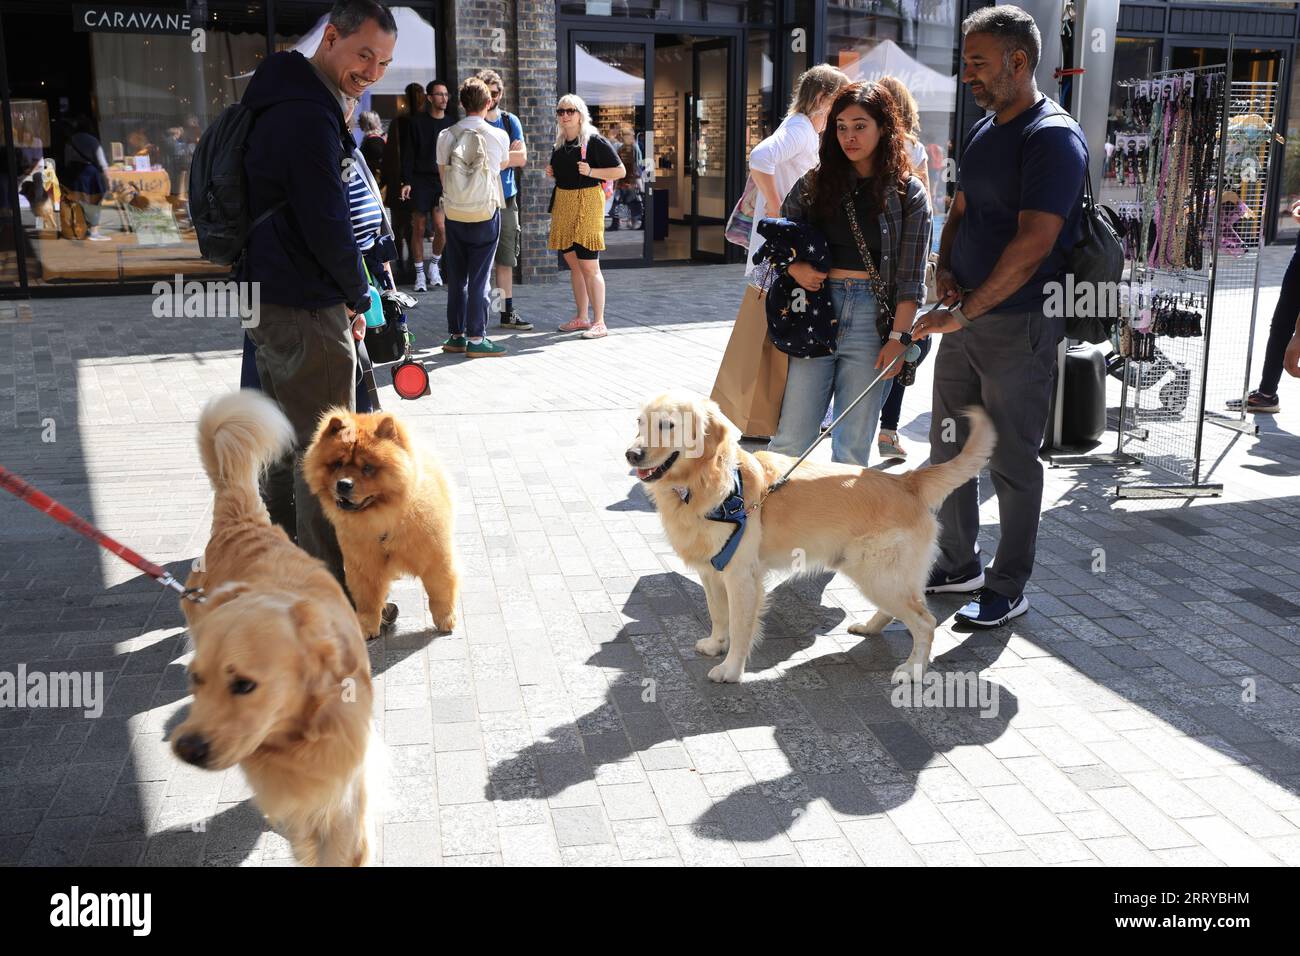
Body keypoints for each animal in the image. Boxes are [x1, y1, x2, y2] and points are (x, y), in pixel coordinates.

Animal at [301, 408, 460, 639]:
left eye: (368, 468)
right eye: (337, 464)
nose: (343, 484)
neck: (383, 520)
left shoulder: (435, 556)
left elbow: (440, 590)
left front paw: (445, 620)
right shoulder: (362, 564)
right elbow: (367, 600)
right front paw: (366, 628)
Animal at [629, 392, 993, 686]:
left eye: (668, 425)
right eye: (640, 421)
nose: (631, 454)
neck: (706, 485)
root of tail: (906, 480)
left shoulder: (741, 577)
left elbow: (740, 627)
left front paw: (731, 670)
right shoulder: (711, 571)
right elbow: (718, 614)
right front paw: (715, 644)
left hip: (879, 575)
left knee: (925, 622)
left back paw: (913, 669)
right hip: (878, 574)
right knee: (903, 612)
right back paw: (870, 627)